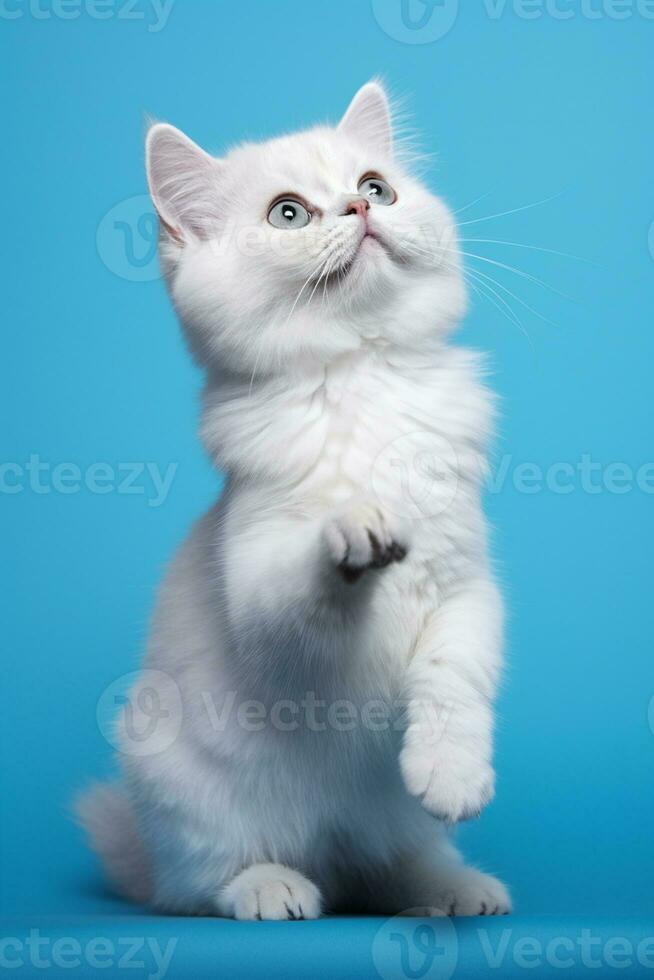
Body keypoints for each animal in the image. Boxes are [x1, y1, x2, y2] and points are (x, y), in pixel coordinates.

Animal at [78, 78, 512, 920]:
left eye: (377, 187)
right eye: (288, 214)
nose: (359, 208)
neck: (362, 373)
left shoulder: (466, 588)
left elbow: (454, 677)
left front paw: (452, 772)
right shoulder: (267, 614)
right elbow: (305, 589)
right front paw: (354, 529)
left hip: (385, 825)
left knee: (388, 867)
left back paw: (454, 888)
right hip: (174, 781)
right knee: (202, 881)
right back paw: (272, 886)